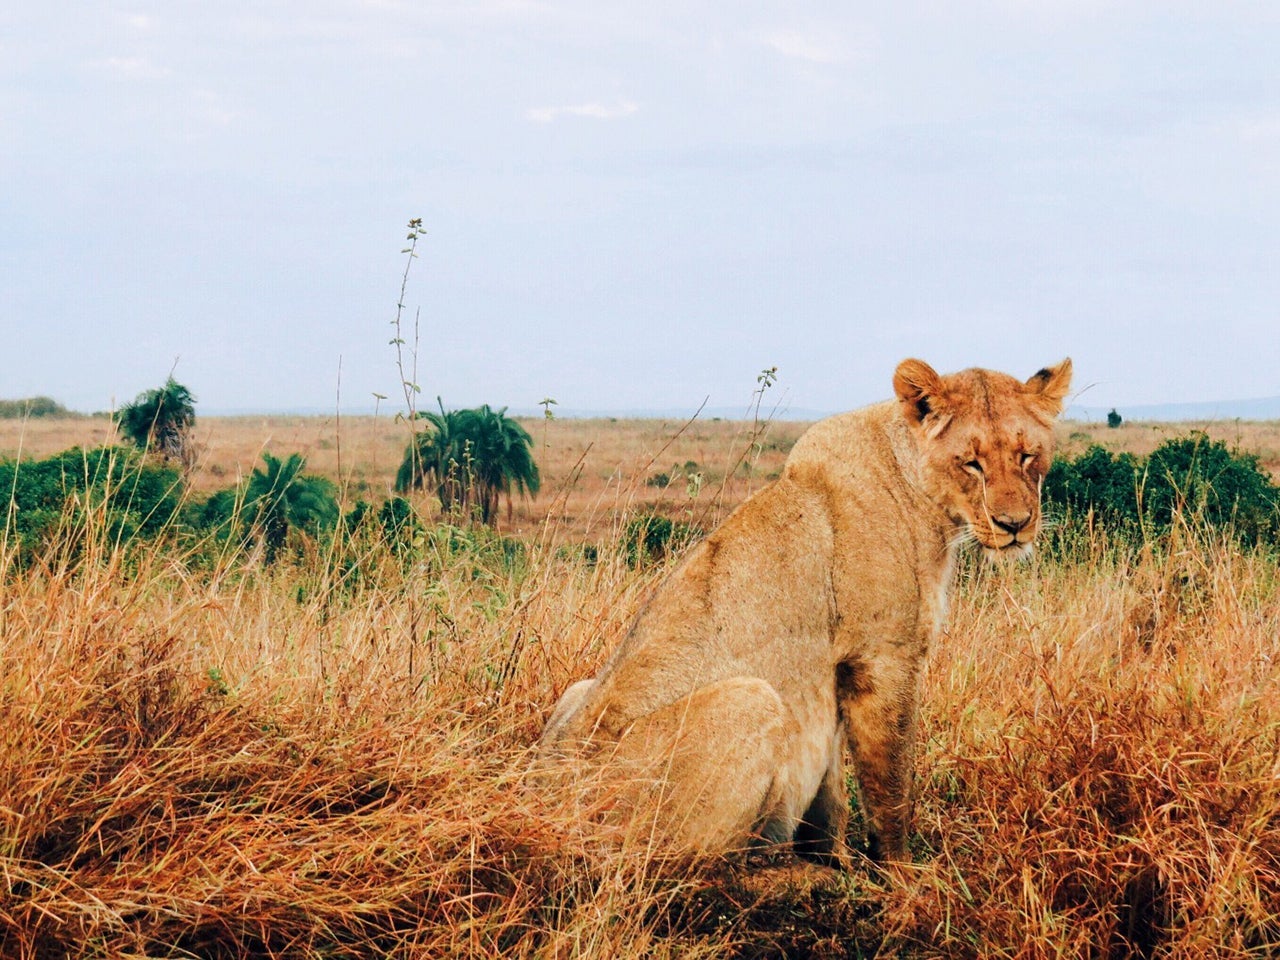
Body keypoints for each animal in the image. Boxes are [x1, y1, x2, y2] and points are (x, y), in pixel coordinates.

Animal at [536, 358, 1072, 865]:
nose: (1015, 525)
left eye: (1028, 456)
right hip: (752, 698)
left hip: (578, 688)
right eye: (972, 464)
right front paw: (903, 873)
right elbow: (890, 783)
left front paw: (834, 860)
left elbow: (831, 793)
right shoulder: (884, 657)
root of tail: (547, 793)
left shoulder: (833, 674)